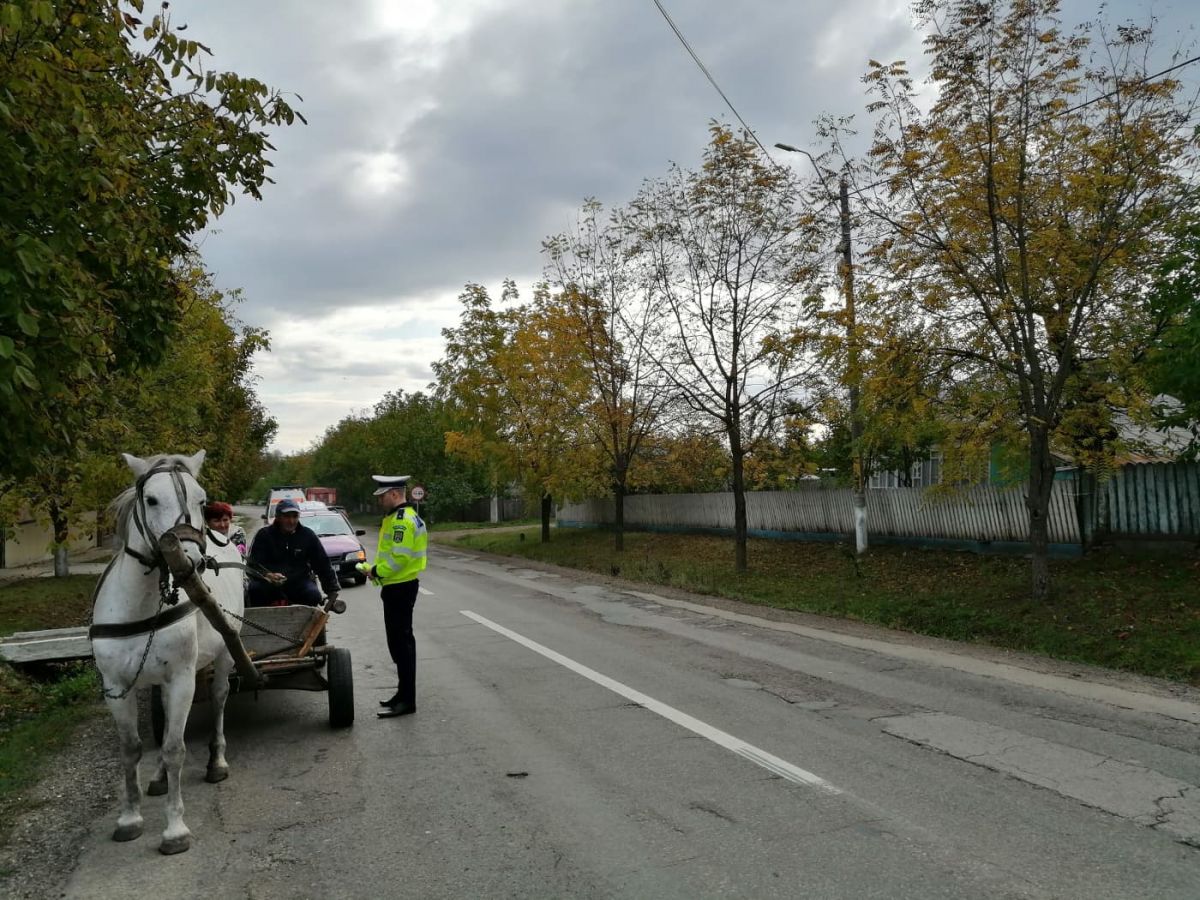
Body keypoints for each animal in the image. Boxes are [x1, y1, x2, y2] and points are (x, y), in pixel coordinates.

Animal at [90, 451, 246, 855]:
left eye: (202, 500)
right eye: (151, 500)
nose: (192, 561)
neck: (141, 604)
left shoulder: (181, 678)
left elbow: (176, 748)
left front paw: (175, 828)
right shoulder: (115, 685)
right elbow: (131, 748)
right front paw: (129, 818)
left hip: (225, 653)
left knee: (220, 698)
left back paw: (217, 759)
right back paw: (160, 776)